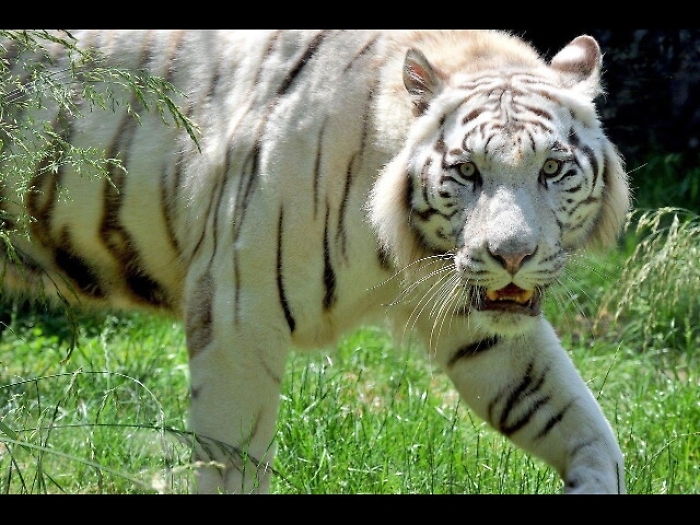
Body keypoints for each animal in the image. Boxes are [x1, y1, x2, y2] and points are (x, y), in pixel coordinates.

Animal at [0, 30, 629, 494]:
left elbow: (583, 425)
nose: (512, 255)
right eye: (467, 171)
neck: (404, 249)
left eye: (552, 168)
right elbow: (234, 464)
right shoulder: (237, 315)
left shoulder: (481, 327)